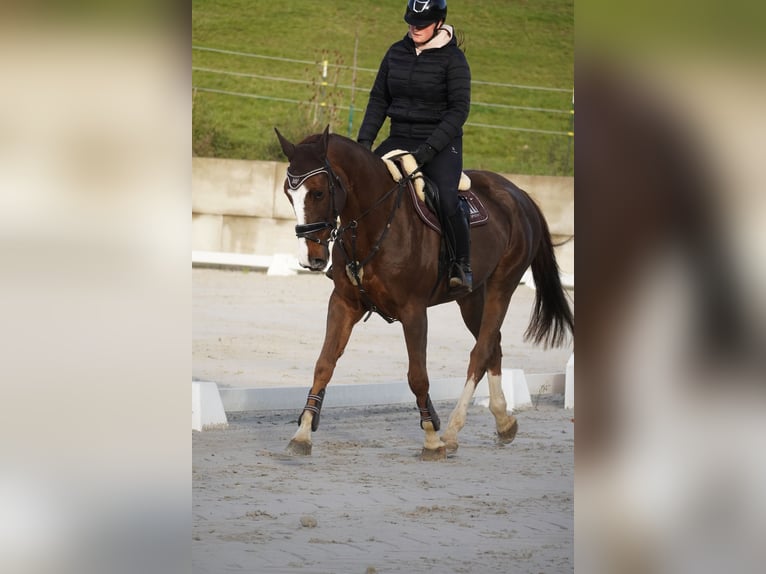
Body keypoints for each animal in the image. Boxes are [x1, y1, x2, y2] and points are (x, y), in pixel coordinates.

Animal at [274, 126, 573, 460]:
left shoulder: (413, 311)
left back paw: (453, 431)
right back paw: (503, 421)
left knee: (480, 351)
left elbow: (417, 375)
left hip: (502, 286)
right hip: (471, 297)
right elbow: (324, 364)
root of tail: (518, 193)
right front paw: (302, 434)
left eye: (318, 192)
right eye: (289, 194)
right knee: (492, 345)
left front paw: (432, 438)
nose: (310, 258)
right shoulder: (344, 304)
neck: (375, 222)